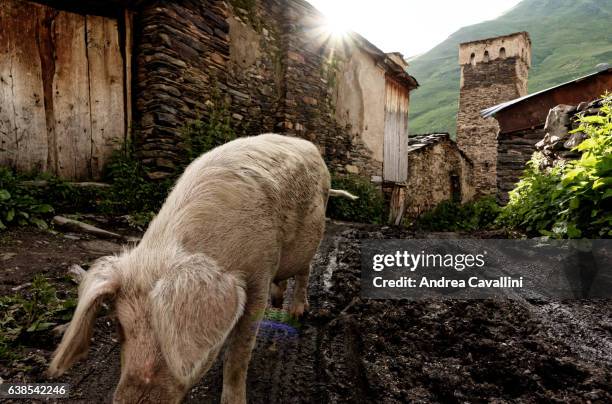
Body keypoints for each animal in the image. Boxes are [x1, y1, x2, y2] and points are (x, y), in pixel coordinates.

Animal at [50, 135, 356, 404]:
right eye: (120, 327)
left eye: (169, 338)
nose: (130, 401)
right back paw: (280, 300)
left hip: (312, 239)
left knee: (304, 272)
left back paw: (296, 311)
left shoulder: (260, 272)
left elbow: (239, 352)